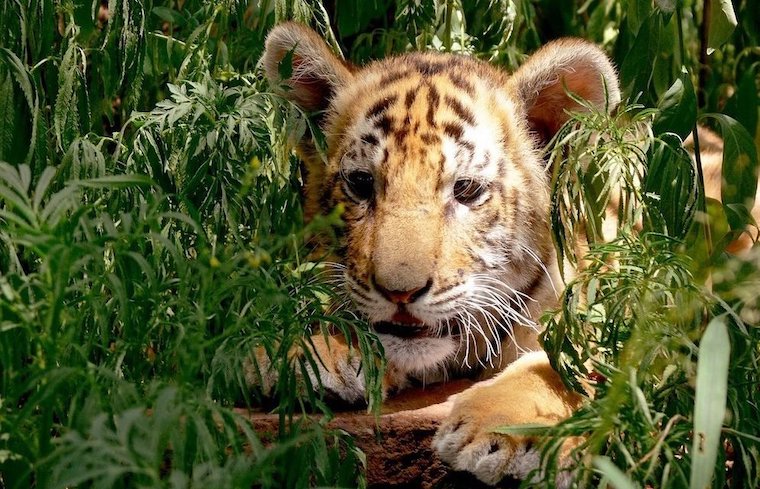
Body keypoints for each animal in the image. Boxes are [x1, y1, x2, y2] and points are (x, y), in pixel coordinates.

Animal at [251, 22, 746, 486]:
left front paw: (497, 427)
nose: (400, 293)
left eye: (466, 190)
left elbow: (558, 368)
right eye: (360, 184)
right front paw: (302, 349)